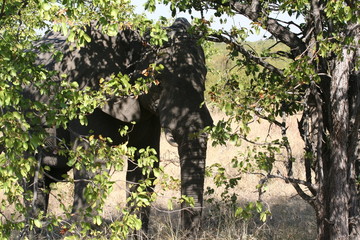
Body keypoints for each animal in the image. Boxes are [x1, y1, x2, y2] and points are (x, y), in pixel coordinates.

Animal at [23, 18, 212, 232]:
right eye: (158, 81)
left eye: (204, 77)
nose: (184, 232)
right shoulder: (86, 96)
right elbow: (93, 168)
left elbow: (144, 165)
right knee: (31, 176)